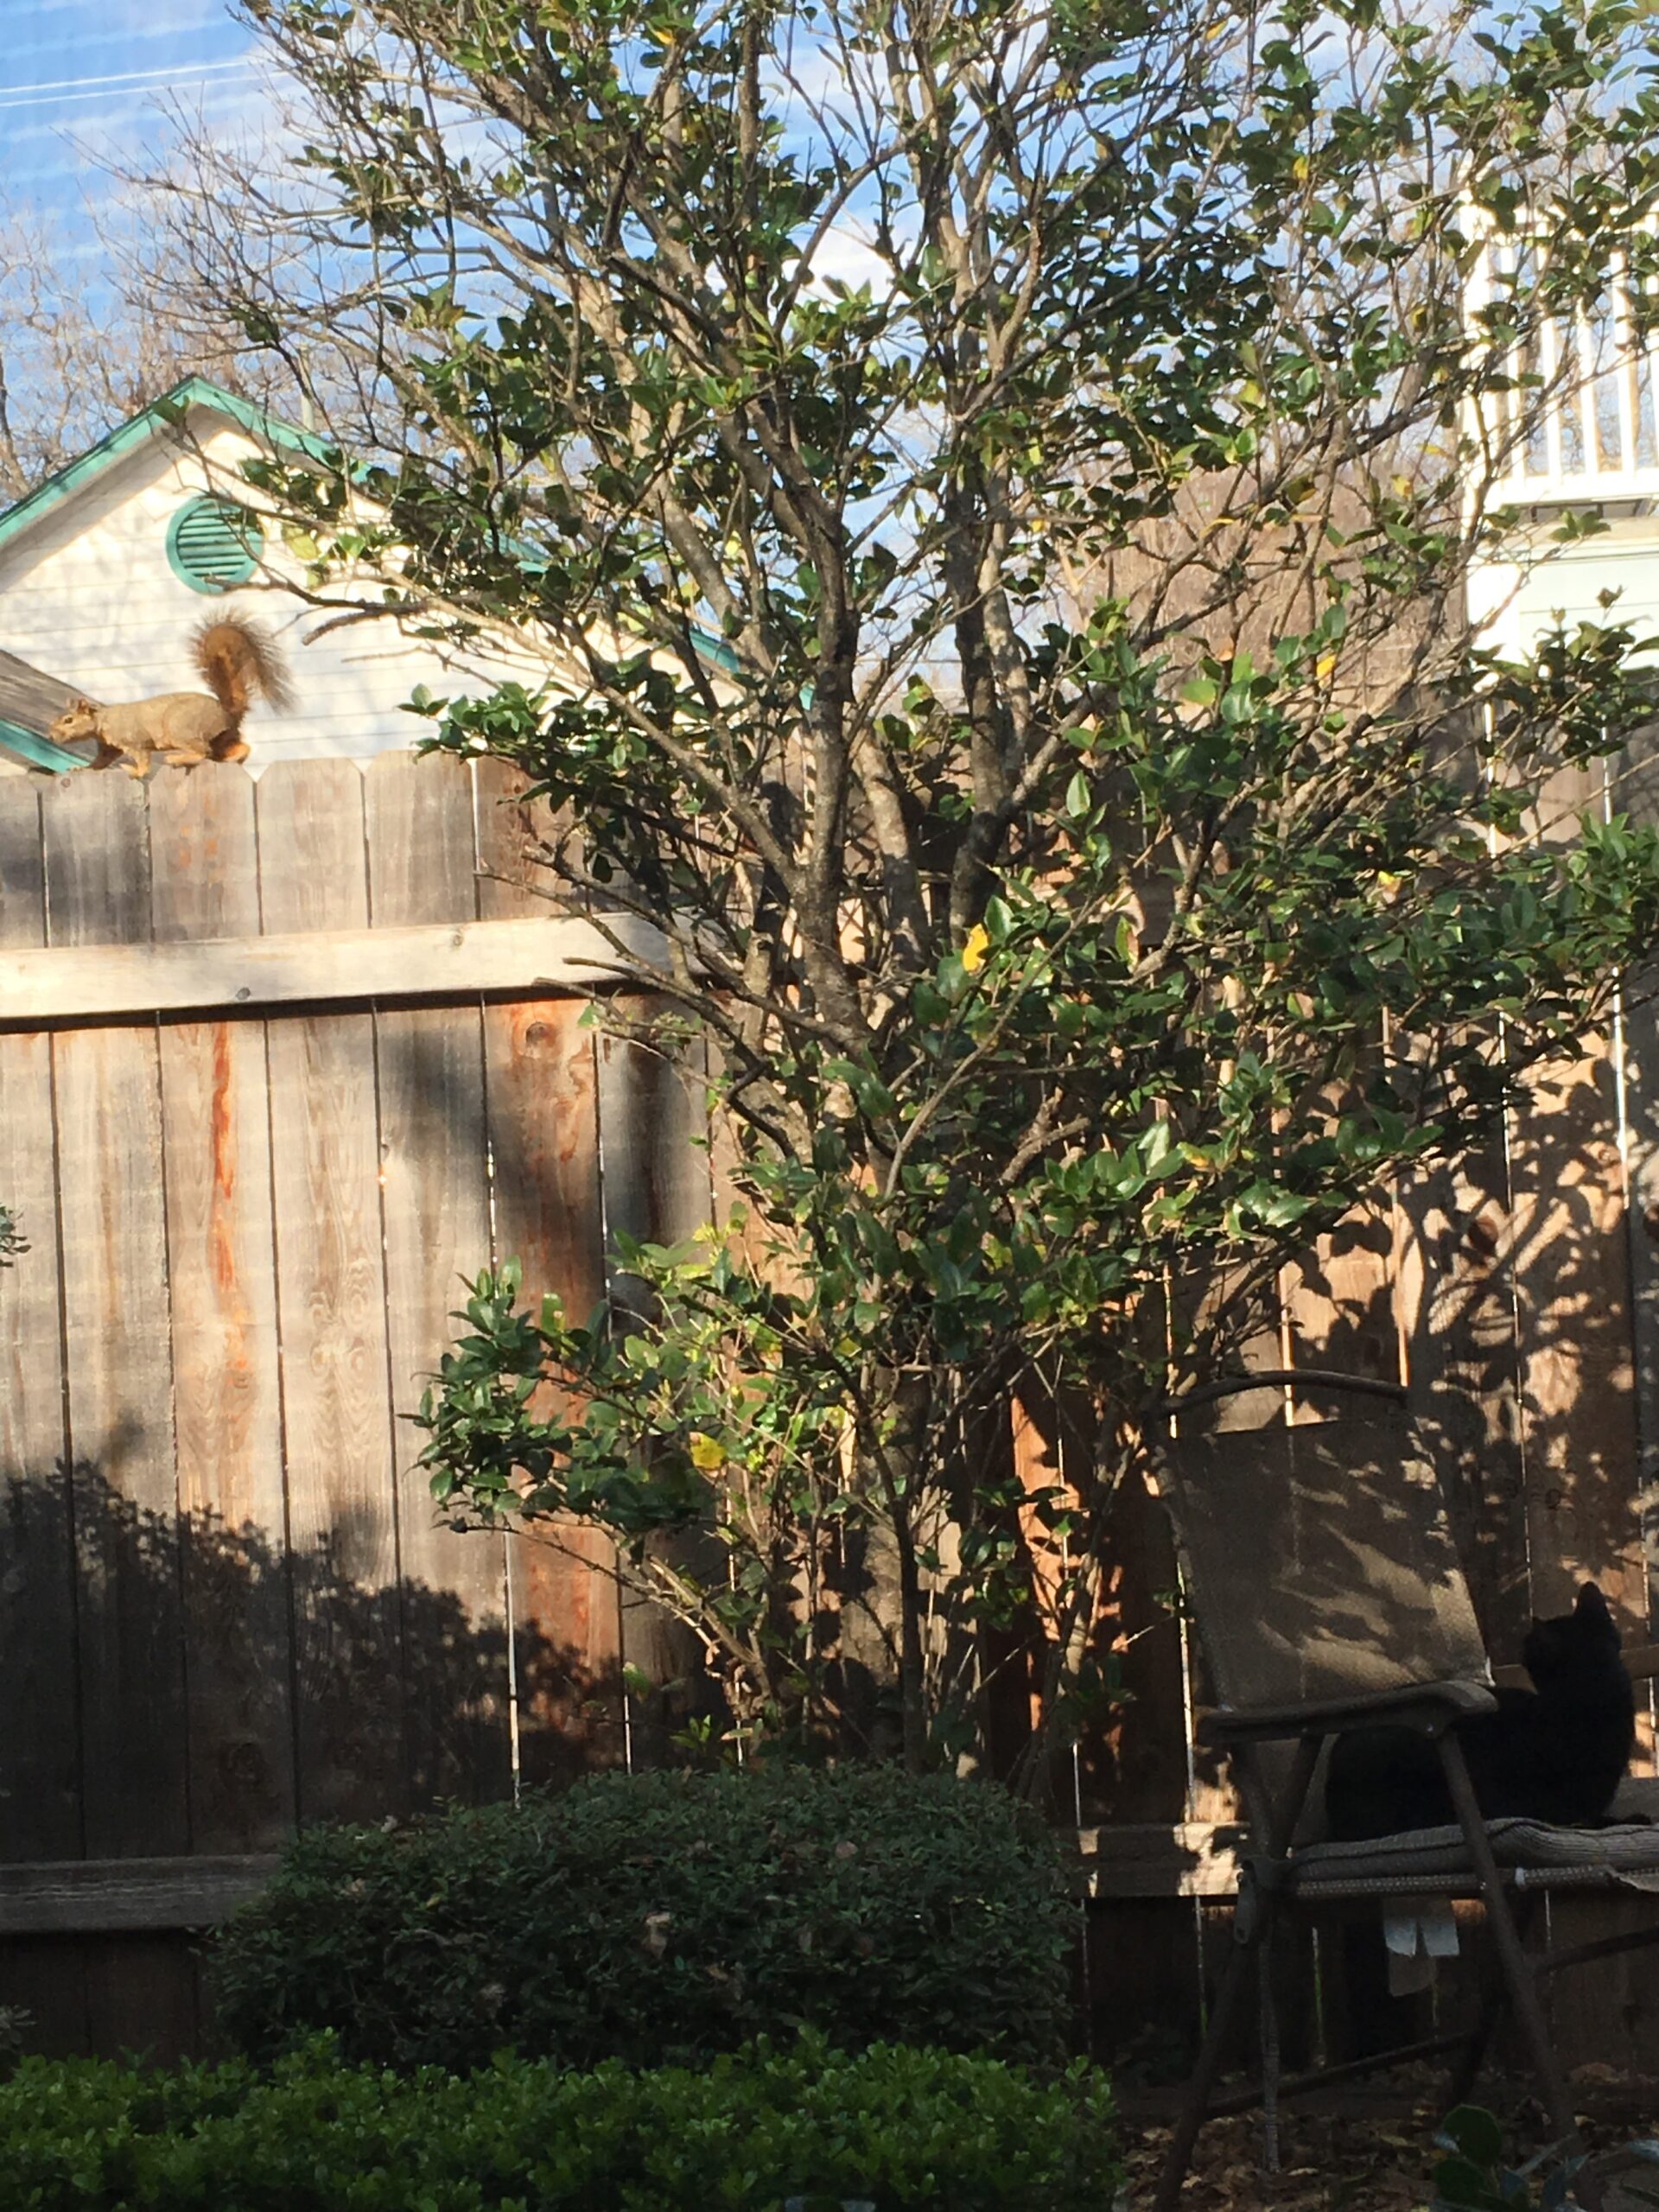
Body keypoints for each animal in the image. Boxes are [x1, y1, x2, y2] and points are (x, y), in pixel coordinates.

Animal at [50, 616, 294, 778]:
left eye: (68, 720)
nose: (51, 736)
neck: (102, 720)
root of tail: (227, 711)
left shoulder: (134, 742)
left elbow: (143, 762)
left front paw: (135, 771)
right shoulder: (109, 748)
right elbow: (99, 763)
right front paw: (81, 768)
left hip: (180, 727)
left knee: (201, 751)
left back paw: (176, 759)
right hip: (221, 737)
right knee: (239, 748)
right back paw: (235, 758)